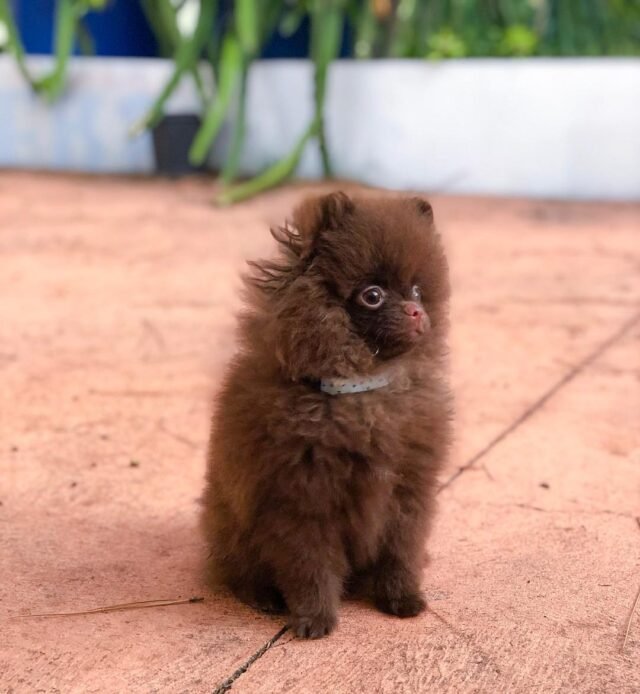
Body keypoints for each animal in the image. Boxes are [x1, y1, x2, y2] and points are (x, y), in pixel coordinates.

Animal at [202, 193, 452, 640]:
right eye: (372, 295)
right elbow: (310, 566)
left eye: (418, 290)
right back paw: (263, 597)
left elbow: (401, 552)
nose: (414, 311)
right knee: (239, 571)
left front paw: (402, 599)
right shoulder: (302, 501)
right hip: (233, 527)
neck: (361, 387)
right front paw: (314, 618)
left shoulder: (408, 494)